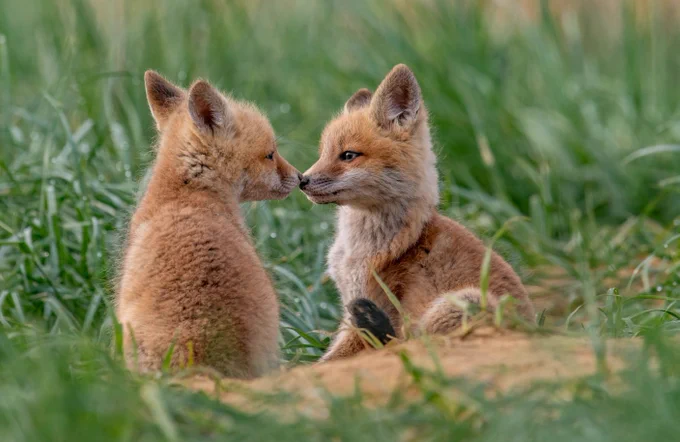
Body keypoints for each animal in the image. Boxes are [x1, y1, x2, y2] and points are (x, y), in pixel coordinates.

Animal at [300, 64, 535, 362]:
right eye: (322, 154)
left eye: (348, 155)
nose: (301, 180)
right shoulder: (350, 306)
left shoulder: (371, 305)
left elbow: (326, 361)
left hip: (461, 303)